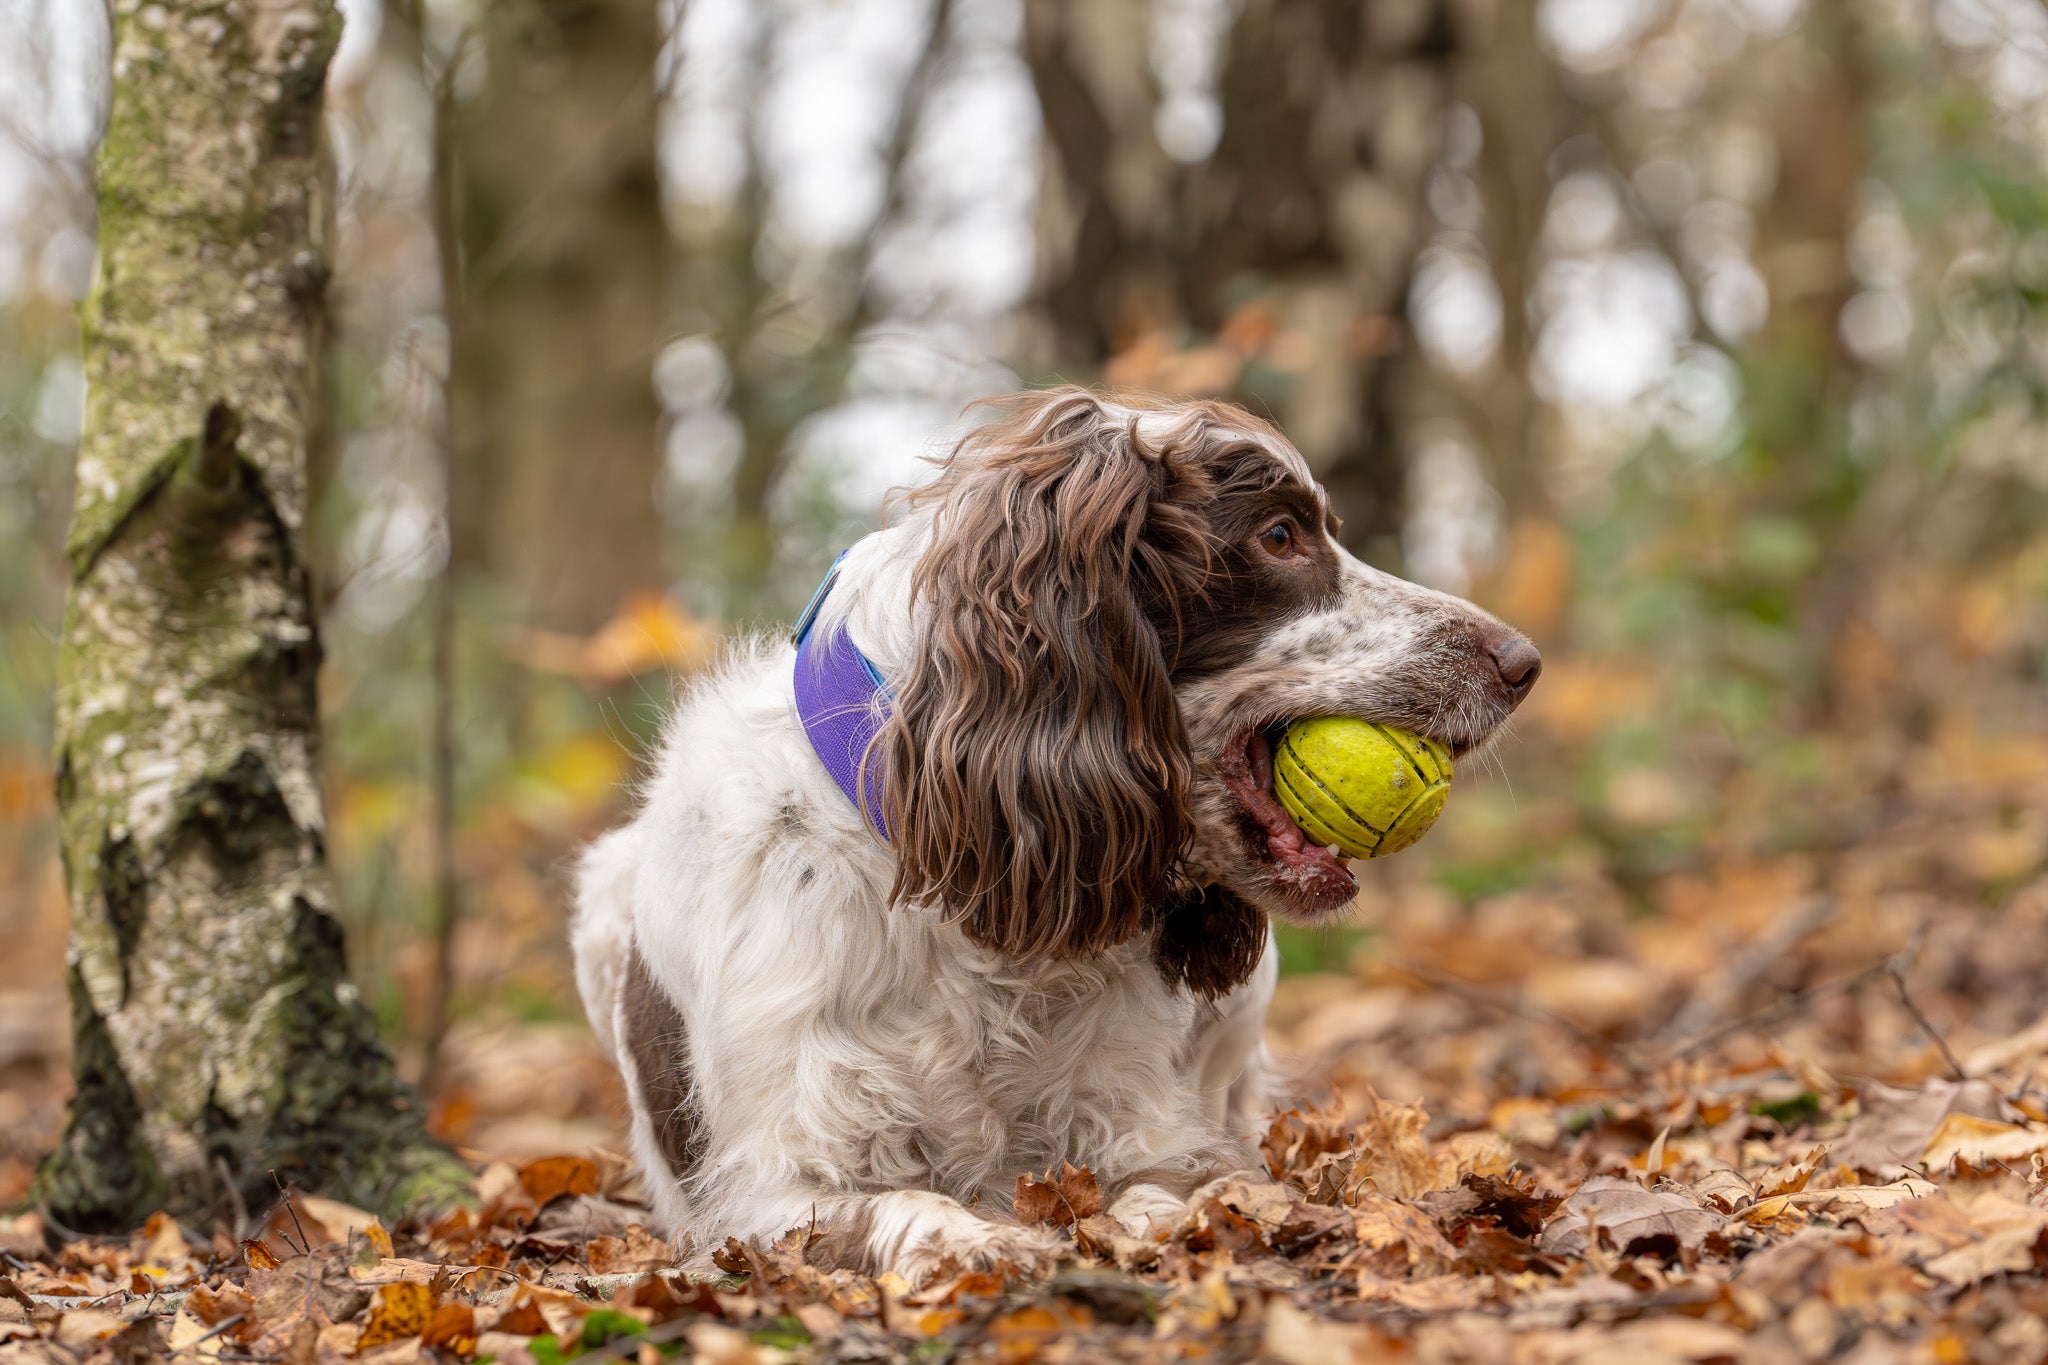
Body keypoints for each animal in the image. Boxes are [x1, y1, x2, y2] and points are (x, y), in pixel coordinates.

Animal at [573, 384, 1540, 1285]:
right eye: (1278, 535)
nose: (1524, 662)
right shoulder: (768, 1186)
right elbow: (899, 1203)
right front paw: (980, 1241)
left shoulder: (1149, 1121)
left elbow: (1179, 1181)